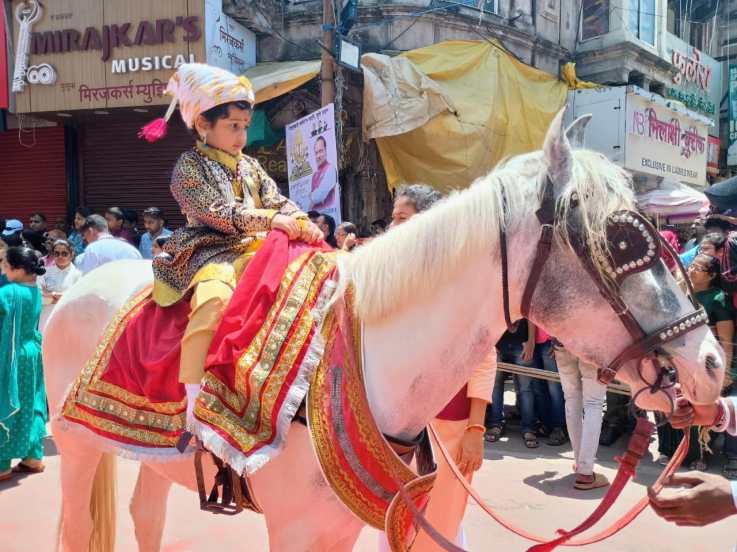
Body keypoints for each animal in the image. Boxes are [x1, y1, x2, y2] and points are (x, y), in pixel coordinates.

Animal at [43, 113, 720, 552]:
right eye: (624, 242)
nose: (710, 364)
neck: (357, 365)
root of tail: (78, 286)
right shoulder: (295, 531)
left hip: (150, 454)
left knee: (144, 515)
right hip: (76, 448)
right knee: (76, 527)